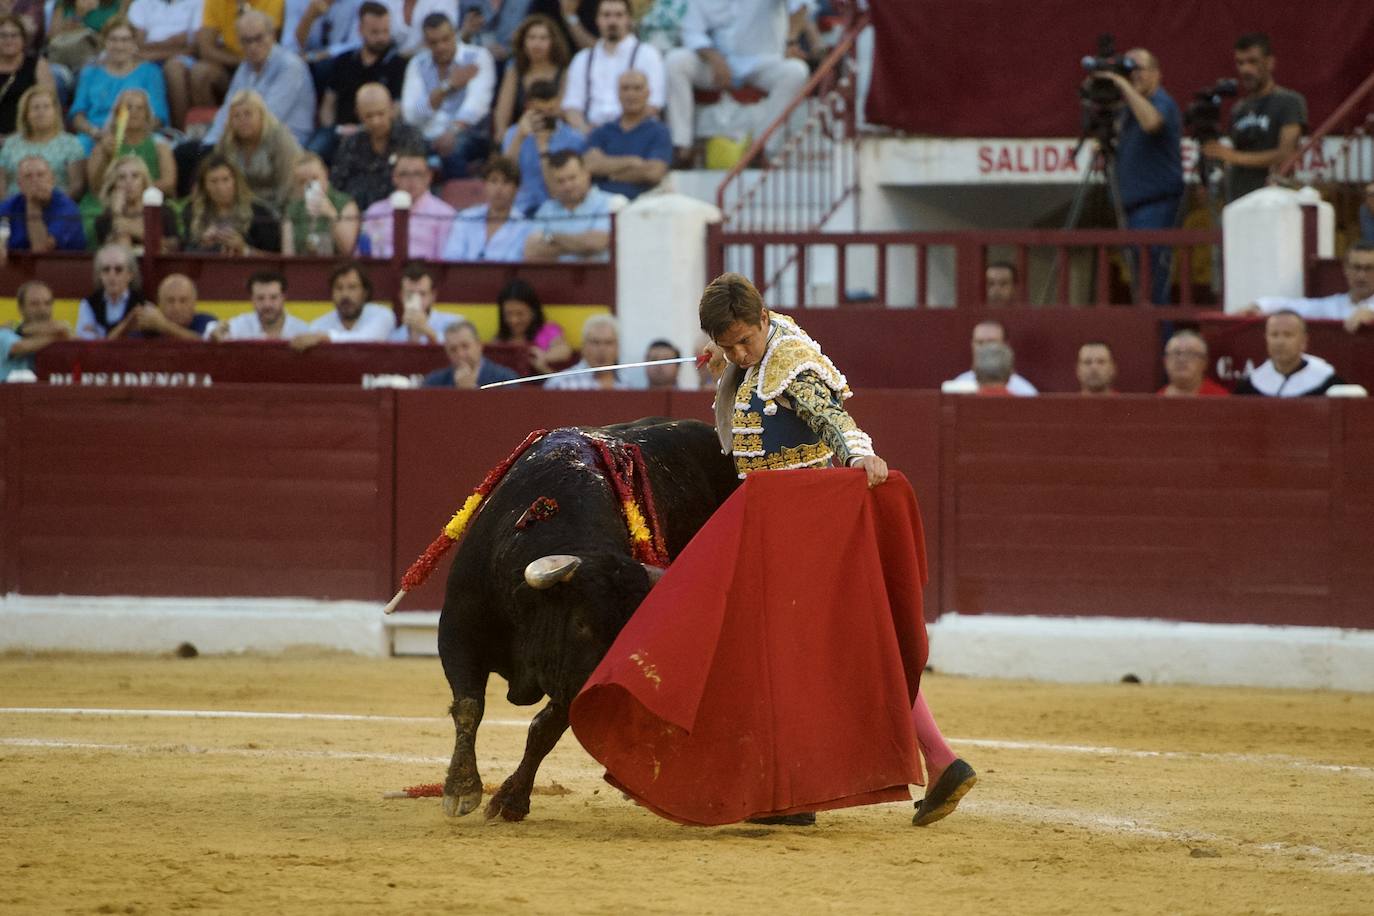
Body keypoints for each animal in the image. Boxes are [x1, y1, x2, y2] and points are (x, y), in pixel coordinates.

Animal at [439, 420, 741, 818]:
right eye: (581, 623)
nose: (607, 699)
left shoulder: (572, 682)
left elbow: (544, 730)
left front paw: (510, 800)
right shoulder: (458, 630)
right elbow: (469, 707)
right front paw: (462, 789)